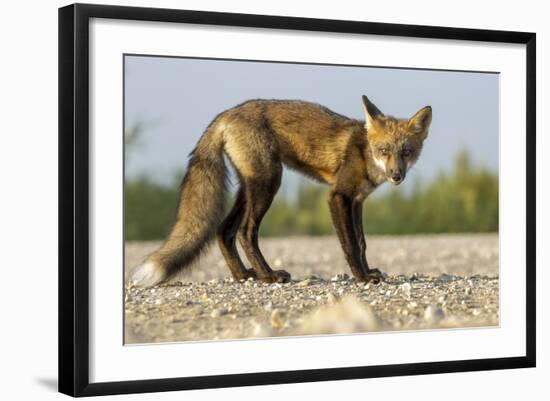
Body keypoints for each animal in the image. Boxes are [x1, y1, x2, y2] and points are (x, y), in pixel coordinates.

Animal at [132, 95, 434, 286]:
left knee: (224, 230)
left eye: (406, 152)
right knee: (245, 232)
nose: (396, 175)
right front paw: (362, 278)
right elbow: (349, 244)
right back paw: (268, 276)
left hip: (249, 188)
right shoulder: (338, 197)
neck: (364, 153)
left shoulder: (357, 200)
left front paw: (369, 270)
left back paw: (243, 275)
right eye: (384, 151)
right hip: (268, 183)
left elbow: (361, 243)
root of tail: (226, 113)